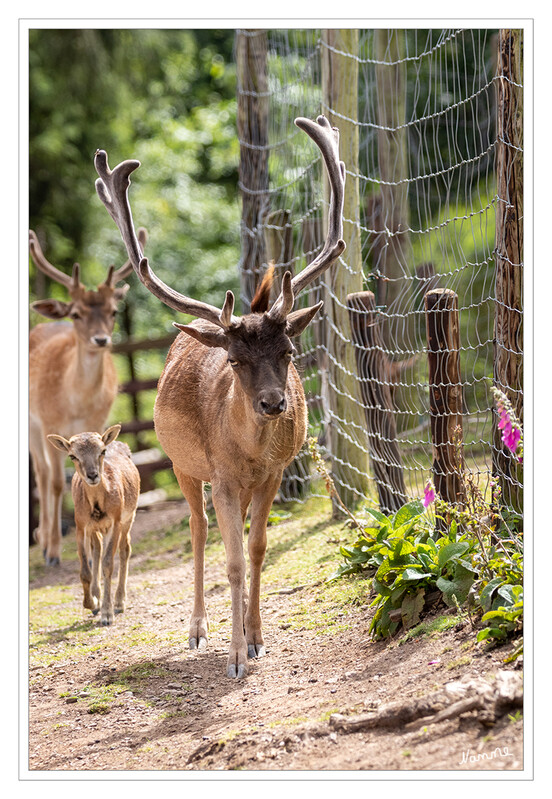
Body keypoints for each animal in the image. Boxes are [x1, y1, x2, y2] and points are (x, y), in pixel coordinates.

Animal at [28, 225, 146, 564]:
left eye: (114, 311)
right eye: (77, 314)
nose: (101, 339)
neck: (76, 403)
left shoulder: (98, 419)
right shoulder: (49, 422)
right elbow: (56, 483)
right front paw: (53, 552)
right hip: (32, 423)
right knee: (41, 474)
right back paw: (43, 539)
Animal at [47, 424, 140, 624]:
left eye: (102, 451)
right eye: (72, 456)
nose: (92, 475)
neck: (98, 506)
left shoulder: (115, 521)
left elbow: (108, 564)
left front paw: (107, 614)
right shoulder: (81, 525)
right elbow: (85, 570)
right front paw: (92, 603)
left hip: (129, 517)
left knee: (125, 549)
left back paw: (119, 602)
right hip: (95, 529)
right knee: (97, 549)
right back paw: (97, 598)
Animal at [94, 115, 344, 680]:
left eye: (289, 351)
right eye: (233, 360)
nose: (274, 403)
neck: (248, 454)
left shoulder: (271, 474)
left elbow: (257, 549)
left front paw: (257, 640)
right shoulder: (224, 477)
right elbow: (230, 560)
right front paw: (233, 657)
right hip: (182, 465)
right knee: (198, 528)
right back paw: (197, 629)